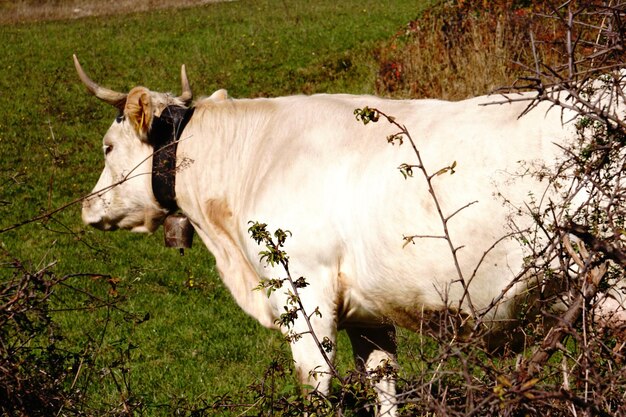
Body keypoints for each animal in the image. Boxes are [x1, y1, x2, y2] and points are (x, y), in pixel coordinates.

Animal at [74, 54, 616, 412]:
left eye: (107, 146)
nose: (86, 207)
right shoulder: (368, 310)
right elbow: (382, 381)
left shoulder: (304, 292)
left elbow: (314, 385)